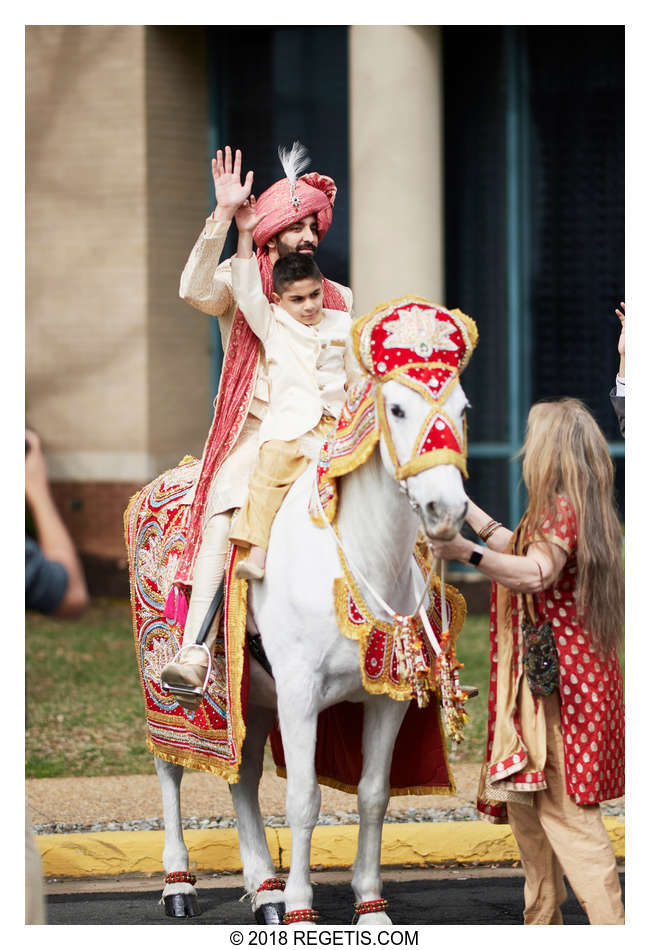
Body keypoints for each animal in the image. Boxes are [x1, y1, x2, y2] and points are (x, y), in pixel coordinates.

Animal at [153, 298, 476, 924]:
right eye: (397, 407)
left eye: (463, 408)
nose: (445, 507)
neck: (357, 558)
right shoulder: (300, 693)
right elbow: (304, 798)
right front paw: (303, 908)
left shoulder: (384, 697)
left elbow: (373, 795)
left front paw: (370, 906)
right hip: (167, 694)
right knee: (171, 768)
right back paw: (182, 883)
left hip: (251, 699)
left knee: (242, 777)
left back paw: (264, 889)